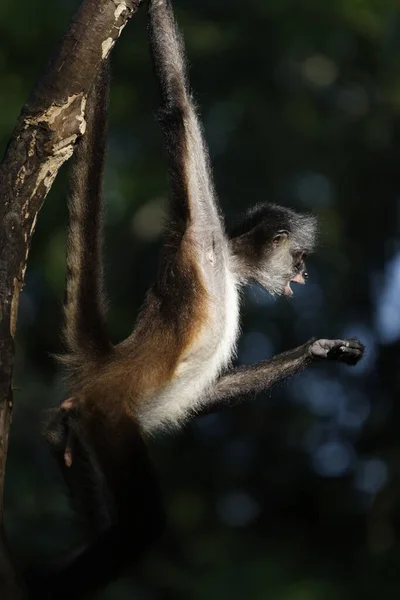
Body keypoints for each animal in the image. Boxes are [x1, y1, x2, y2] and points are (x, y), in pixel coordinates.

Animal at [23, 2, 364, 596]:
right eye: (299, 258)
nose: (302, 275)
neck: (226, 265)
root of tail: (104, 366)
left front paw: (319, 350)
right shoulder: (199, 231)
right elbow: (178, 108)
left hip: (75, 433)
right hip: (106, 416)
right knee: (138, 526)